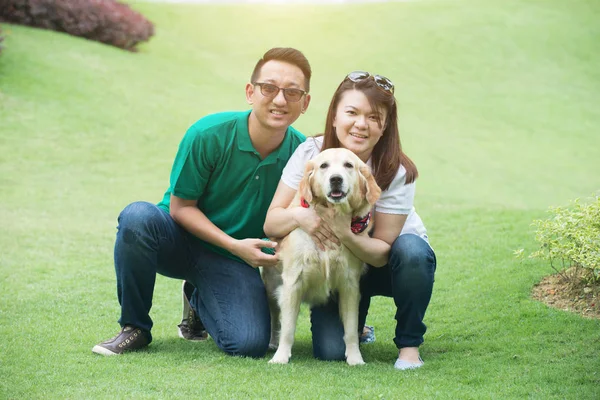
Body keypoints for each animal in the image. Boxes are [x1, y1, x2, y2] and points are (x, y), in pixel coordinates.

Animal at [262, 148, 380, 366]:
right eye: (324, 166)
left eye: (348, 165)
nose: (336, 179)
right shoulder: (292, 282)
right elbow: (288, 327)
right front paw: (281, 357)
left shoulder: (350, 284)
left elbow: (351, 329)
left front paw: (355, 358)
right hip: (271, 286)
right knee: (275, 318)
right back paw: (273, 343)